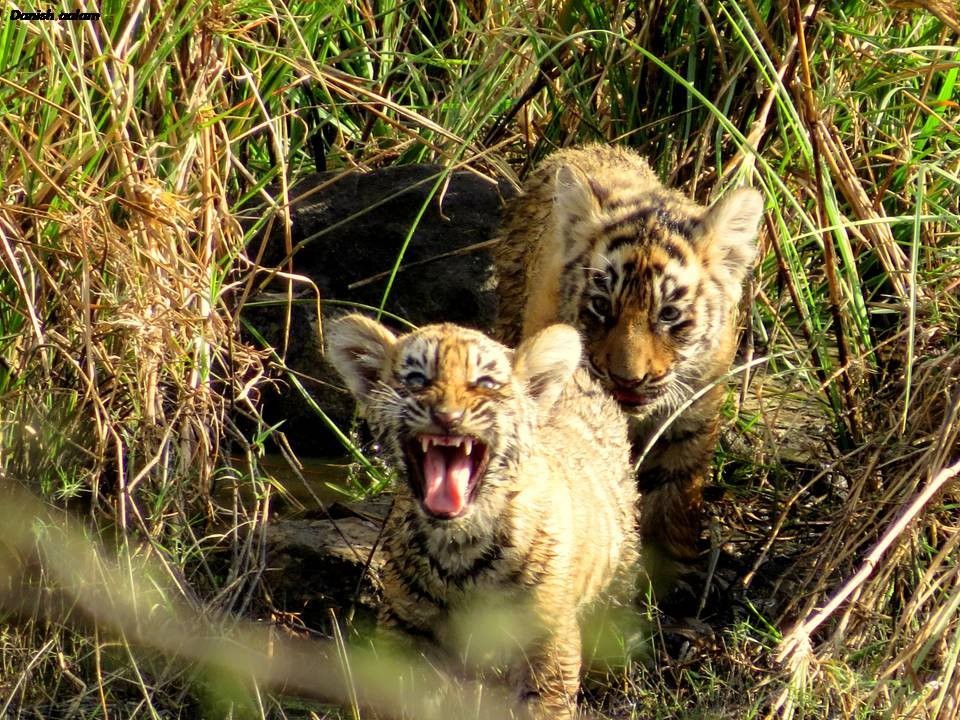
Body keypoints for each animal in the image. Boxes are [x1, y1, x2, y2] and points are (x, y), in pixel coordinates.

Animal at [325, 314, 638, 719]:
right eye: (417, 379)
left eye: (484, 383)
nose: (447, 417)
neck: (458, 544)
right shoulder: (407, 628)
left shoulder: (547, 636)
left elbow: (544, 705)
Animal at [493, 144, 764, 594]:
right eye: (602, 306)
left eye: (669, 314)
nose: (627, 378)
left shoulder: (689, 418)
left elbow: (673, 493)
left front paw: (668, 577)